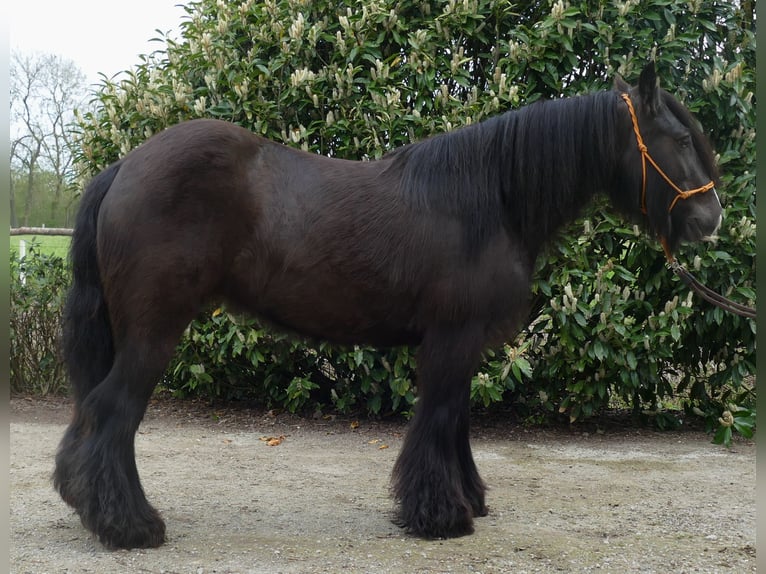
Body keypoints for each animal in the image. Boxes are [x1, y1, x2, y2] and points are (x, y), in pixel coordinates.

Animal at [57, 62, 724, 548]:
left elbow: (456, 421)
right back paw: (131, 527)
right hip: (153, 333)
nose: (710, 218)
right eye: (680, 138)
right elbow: (438, 419)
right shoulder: (452, 338)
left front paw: (468, 498)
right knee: (113, 414)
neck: (489, 200)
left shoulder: (462, 343)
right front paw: (440, 515)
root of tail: (126, 166)